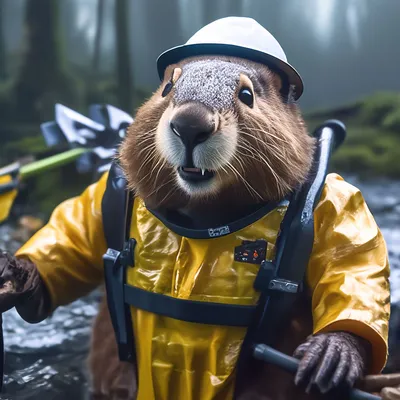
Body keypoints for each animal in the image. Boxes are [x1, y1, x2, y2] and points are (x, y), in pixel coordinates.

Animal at [0, 15, 390, 400]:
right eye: (167, 88)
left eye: (246, 94)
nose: (190, 125)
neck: (201, 218)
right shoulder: (107, 190)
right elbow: (74, 233)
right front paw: (16, 273)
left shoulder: (327, 195)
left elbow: (353, 256)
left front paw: (332, 355)